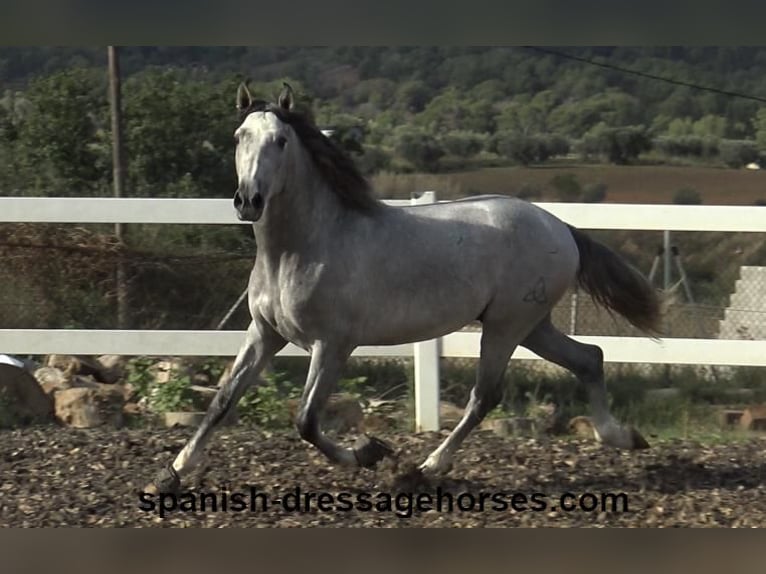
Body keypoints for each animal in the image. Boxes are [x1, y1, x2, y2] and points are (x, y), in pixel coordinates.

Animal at [147, 84, 664, 496]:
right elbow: (222, 400)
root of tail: (560, 226)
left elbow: (307, 421)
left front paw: (370, 453)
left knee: (486, 396)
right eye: (239, 137)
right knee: (590, 357)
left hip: (505, 327)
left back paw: (428, 466)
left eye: (281, 140)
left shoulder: (333, 345)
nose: (248, 201)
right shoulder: (264, 334)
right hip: (532, 324)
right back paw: (622, 437)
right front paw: (171, 474)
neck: (304, 247)